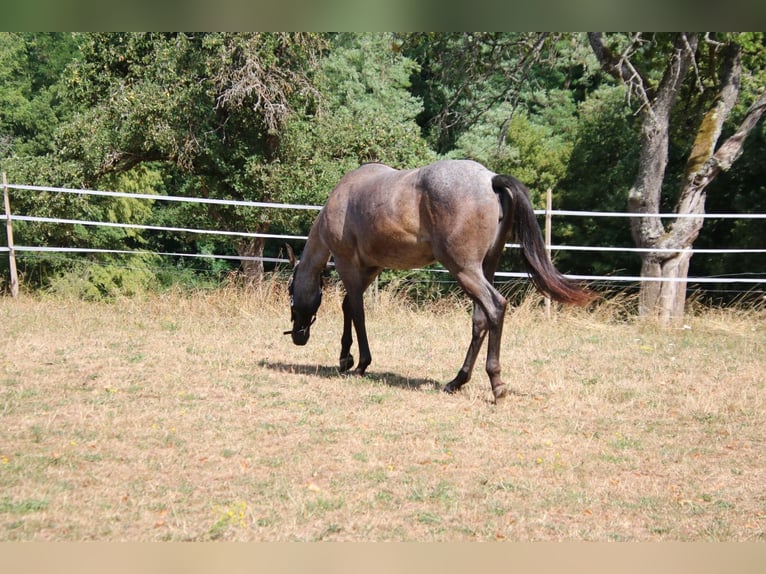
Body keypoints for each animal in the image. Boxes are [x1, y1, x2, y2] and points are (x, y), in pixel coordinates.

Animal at [284, 159, 593, 402]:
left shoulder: (349, 265)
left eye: (290, 291)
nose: (298, 336)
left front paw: (360, 364)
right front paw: (345, 359)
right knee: (480, 320)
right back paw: (457, 381)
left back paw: (496, 384)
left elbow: (357, 313)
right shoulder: (370, 269)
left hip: (465, 269)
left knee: (495, 307)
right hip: (484, 268)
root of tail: (490, 179)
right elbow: (349, 307)